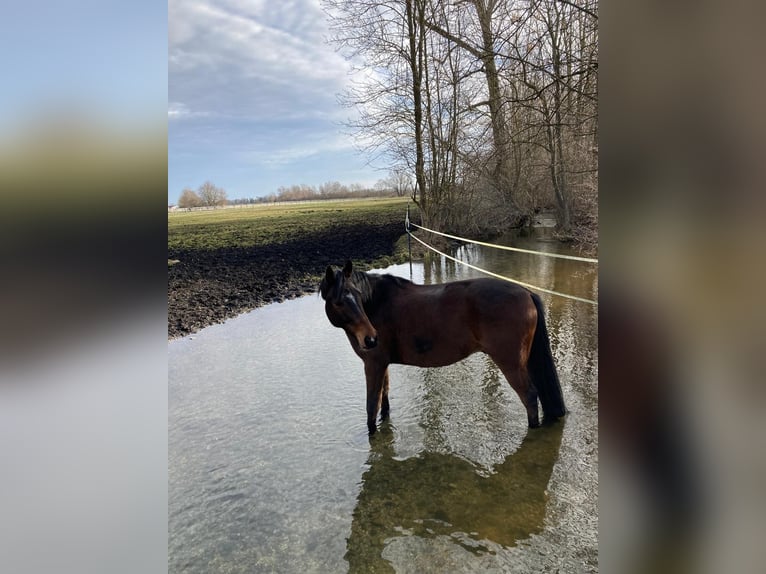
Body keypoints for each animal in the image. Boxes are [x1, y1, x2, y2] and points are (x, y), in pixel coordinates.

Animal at [320, 260, 568, 436]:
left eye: (358, 296)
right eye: (339, 302)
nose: (370, 339)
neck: (377, 303)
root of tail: (526, 292)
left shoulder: (373, 365)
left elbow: (371, 407)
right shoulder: (382, 365)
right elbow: (385, 401)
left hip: (511, 365)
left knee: (530, 397)